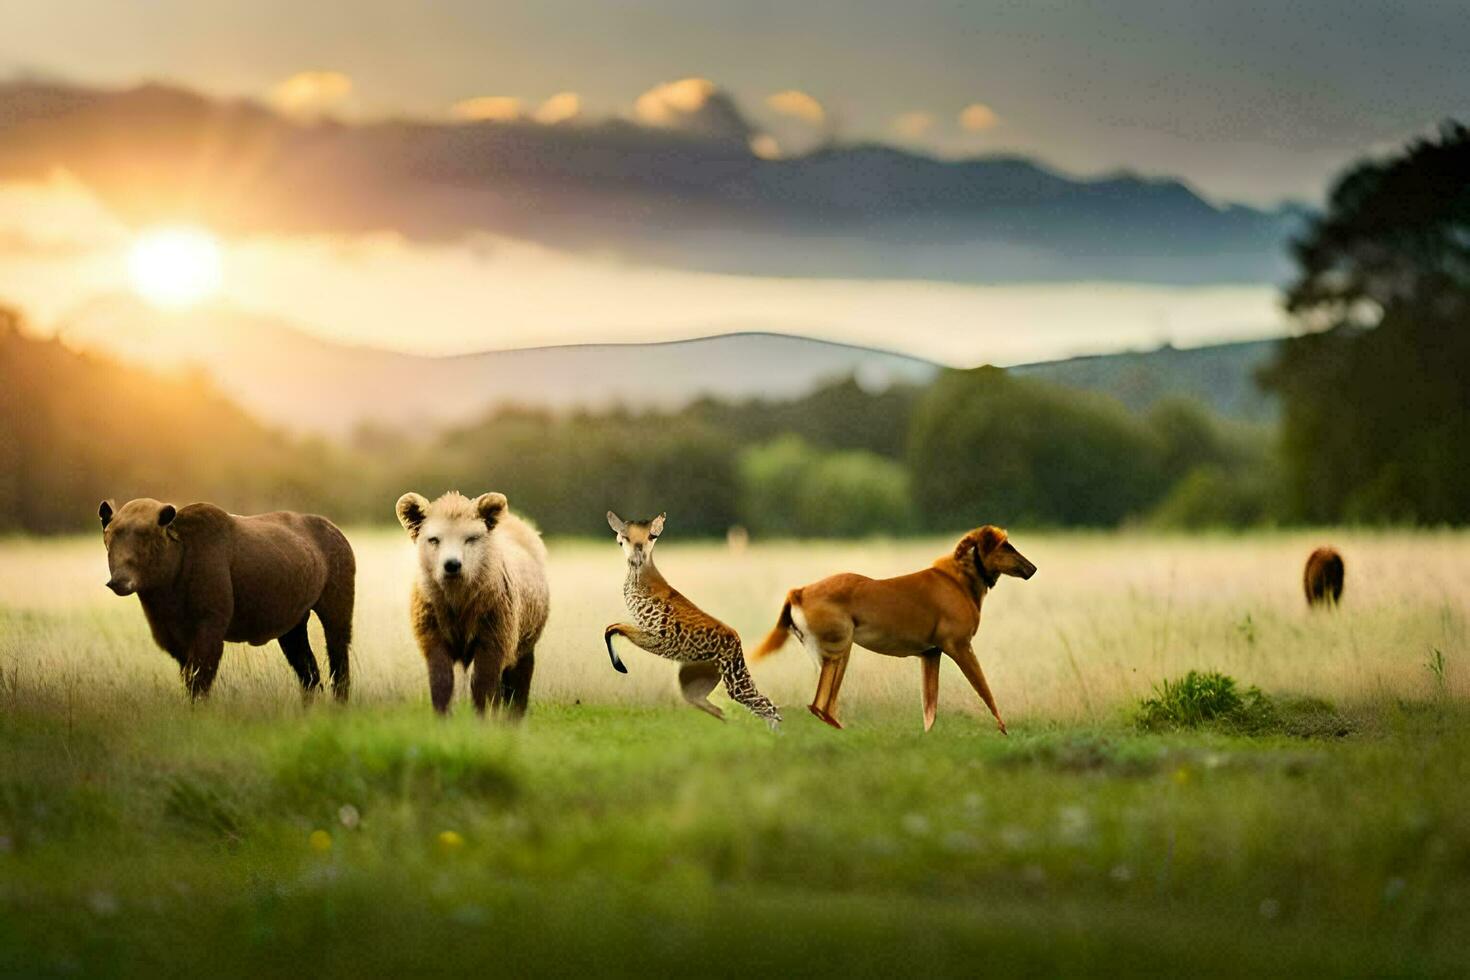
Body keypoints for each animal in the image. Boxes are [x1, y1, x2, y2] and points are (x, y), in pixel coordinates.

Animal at [98, 502, 355, 702]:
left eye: (145, 536)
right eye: (108, 536)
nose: (119, 580)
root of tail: (340, 535)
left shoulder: (210, 625)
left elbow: (199, 682)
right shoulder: (172, 636)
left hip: (336, 609)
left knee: (338, 662)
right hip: (293, 625)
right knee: (310, 674)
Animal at [393, 493, 549, 717]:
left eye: (471, 538)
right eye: (433, 539)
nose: (452, 565)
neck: (458, 602)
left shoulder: (493, 639)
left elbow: (483, 684)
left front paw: (480, 720)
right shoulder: (433, 636)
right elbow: (442, 681)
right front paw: (442, 718)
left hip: (524, 640)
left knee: (518, 685)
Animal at [746, 528, 1034, 728]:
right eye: (1006, 545)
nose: (1032, 568)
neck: (960, 580)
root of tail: (799, 591)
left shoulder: (931, 654)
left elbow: (930, 710)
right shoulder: (960, 647)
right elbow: (987, 693)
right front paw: (1003, 729)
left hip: (839, 653)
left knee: (823, 706)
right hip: (840, 650)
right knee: (819, 705)